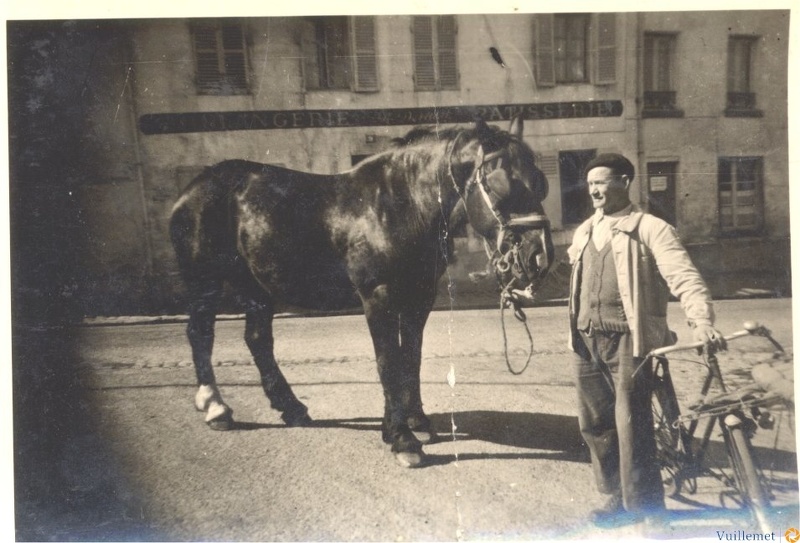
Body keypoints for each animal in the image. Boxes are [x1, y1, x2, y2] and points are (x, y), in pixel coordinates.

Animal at [170, 115, 552, 468]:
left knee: (257, 339)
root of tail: (193, 188)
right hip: (205, 282)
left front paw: (414, 421)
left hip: (256, 287)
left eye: (540, 182)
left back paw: (291, 408)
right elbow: (388, 361)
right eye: (502, 184)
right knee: (200, 333)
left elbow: (410, 357)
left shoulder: (419, 298)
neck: (400, 205)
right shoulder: (378, 296)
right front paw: (402, 439)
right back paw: (216, 407)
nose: (540, 256)